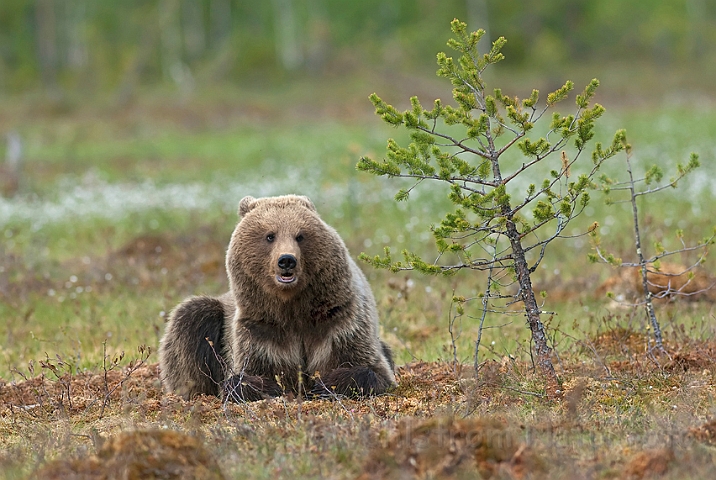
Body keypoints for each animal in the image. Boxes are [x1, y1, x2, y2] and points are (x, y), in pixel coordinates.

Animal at [158, 195, 398, 402]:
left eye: (300, 235)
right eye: (270, 235)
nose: (287, 260)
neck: (292, 307)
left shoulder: (339, 320)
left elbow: (370, 368)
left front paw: (325, 385)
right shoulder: (261, 332)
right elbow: (252, 375)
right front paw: (269, 387)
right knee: (191, 319)